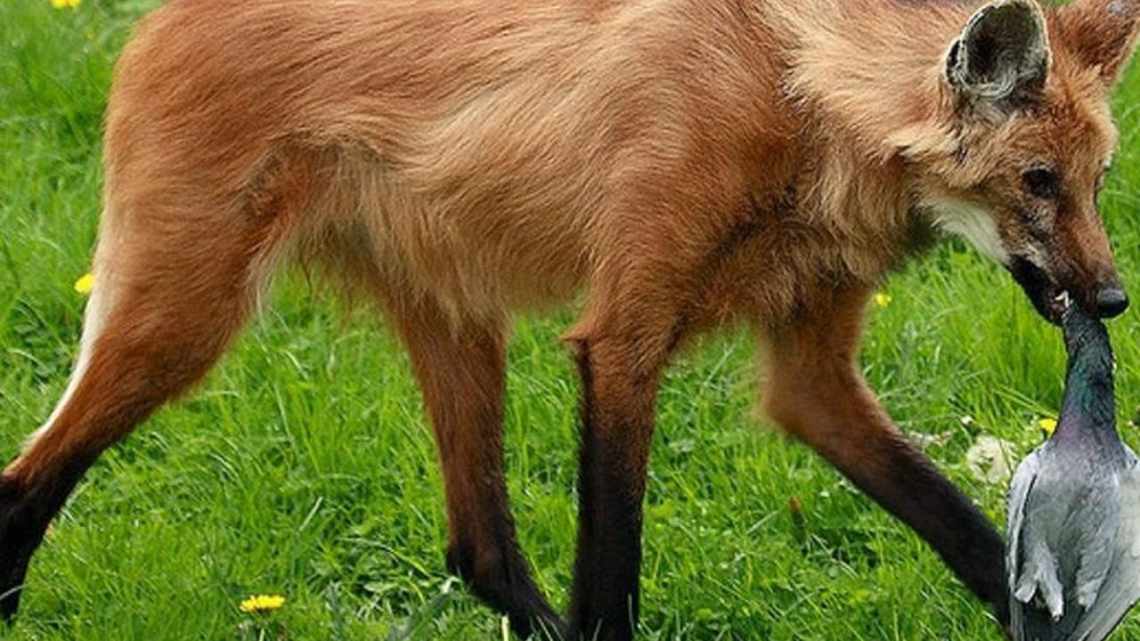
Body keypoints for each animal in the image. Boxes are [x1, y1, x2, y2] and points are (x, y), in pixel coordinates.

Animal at [2, 0, 1140, 634]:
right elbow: (614, 577)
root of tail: (150, 20)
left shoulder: (812, 377)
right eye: (1035, 180)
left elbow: (963, 528)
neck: (801, 97)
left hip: (459, 317)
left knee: (477, 546)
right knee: (23, 482)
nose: (1113, 297)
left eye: (1096, 181)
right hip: (186, 314)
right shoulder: (622, 337)